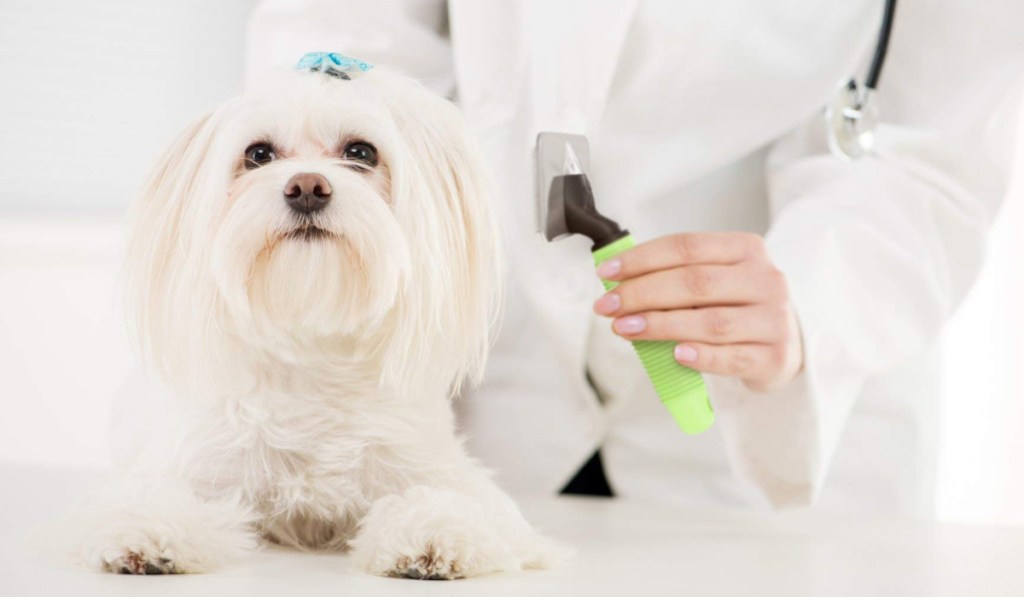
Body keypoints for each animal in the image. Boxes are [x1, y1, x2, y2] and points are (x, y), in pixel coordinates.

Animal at [66, 58, 561, 581]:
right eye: (258, 154)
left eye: (361, 152)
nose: (307, 186)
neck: (311, 351)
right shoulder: (195, 464)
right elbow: (155, 498)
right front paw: (145, 532)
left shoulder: (438, 470)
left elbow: (453, 504)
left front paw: (433, 536)